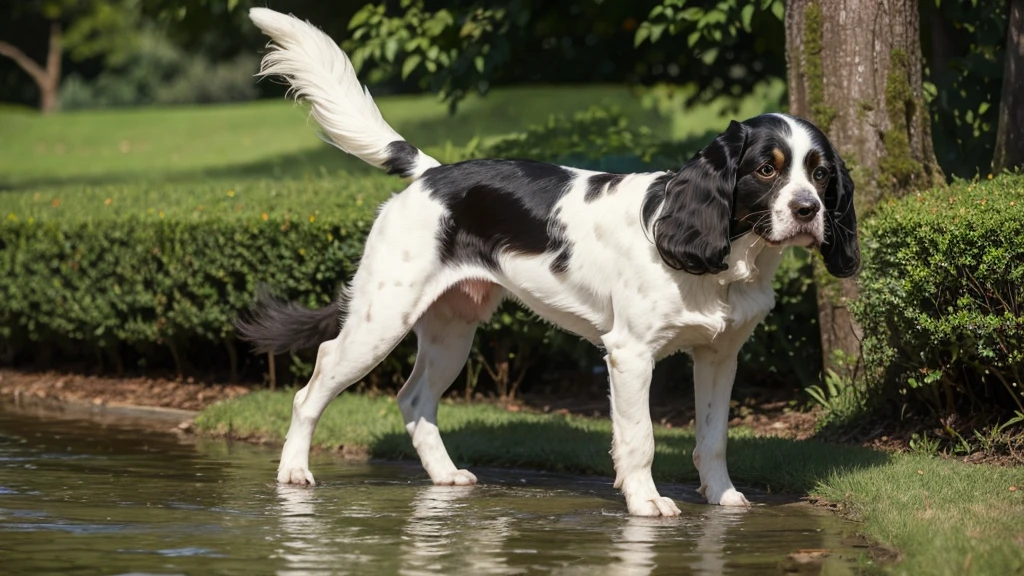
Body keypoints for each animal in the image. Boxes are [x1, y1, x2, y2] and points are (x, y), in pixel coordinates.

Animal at [239, 6, 856, 512]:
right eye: (767, 169)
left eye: (822, 174)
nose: (807, 211)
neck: (723, 259)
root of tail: (430, 174)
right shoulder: (629, 353)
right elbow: (639, 437)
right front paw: (646, 502)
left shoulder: (719, 355)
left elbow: (713, 436)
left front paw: (723, 497)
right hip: (380, 321)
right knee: (312, 386)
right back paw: (293, 473)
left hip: (451, 330)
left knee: (413, 399)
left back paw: (445, 477)